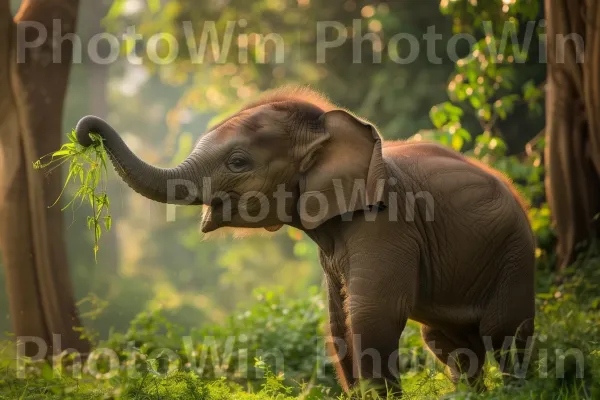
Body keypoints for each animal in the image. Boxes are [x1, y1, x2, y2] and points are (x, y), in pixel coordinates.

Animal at [74, 86, 536, 396]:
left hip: (515, 254)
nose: (86, 133)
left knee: (504, 334)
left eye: (238, 162)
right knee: (450, 344)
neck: (329, 127)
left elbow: (373, 314)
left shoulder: (387, 224)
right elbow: (337, 322)